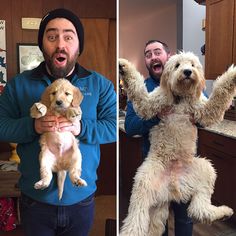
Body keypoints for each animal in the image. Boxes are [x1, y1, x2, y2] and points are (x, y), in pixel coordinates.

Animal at [120, 52, 236, 236]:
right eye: (177, 65)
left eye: (193, 65)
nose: (187, 72)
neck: (181, 98)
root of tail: (171, 189)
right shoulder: (150, 103)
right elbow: (138, 89)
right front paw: (124, 66)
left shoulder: (206, 110)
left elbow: (219, 95)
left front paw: (232, 74)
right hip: (143, 183)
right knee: (135, 222)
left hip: (206, 170)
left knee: (198, 209)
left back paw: (224, 212)